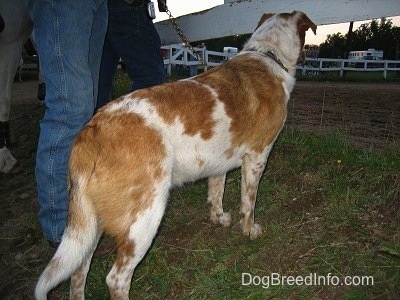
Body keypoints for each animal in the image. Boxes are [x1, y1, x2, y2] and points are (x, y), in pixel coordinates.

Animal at [35, 11, 316, 300]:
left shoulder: (219, 163)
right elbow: (248, 203)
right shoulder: (257, 156)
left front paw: (219, 218)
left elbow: (216, 193)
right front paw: (249, 230)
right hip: (144, 218)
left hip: (89, 227)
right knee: (116, 278)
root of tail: (92, 132)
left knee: (78, 272)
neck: (268, 53)